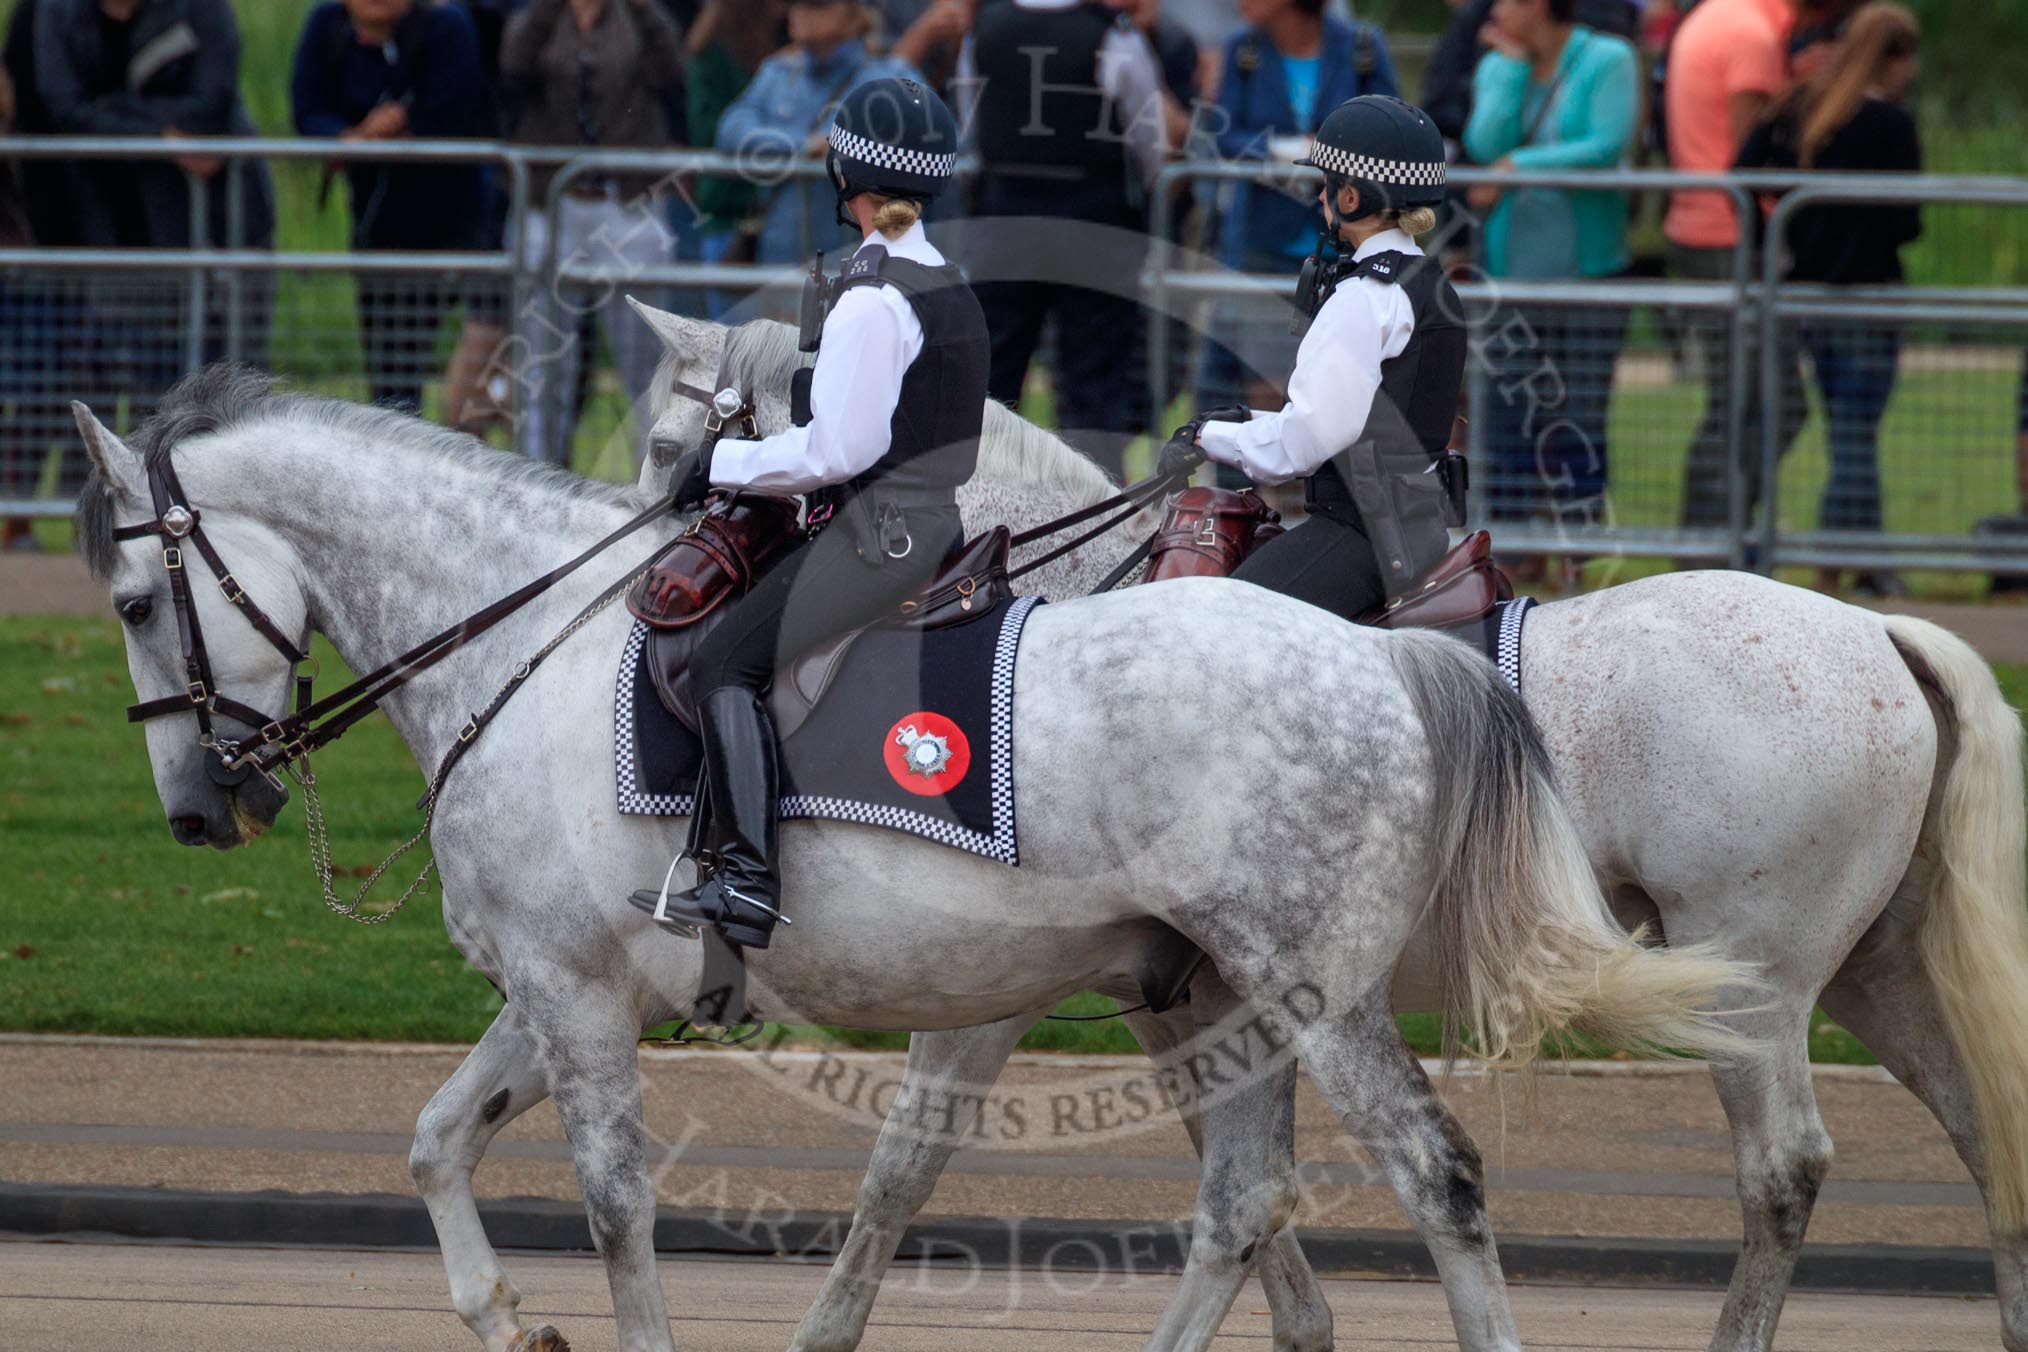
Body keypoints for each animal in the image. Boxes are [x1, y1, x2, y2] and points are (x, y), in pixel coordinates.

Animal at [67, 362, 1744, 1352]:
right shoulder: (559, 989)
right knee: (1242, 1201)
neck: (522, 648)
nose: (199, 809)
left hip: (1315, 993)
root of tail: (1381, 655)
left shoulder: (578, 994)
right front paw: (501, 1313)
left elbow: (618, 1205)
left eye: (137, 604)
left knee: (1435, 1177)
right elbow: (431, 1142)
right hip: (1227, 998)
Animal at [632, 306, 2028, 1352]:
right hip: (1875, 970)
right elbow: (1235, 1169)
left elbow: (906, 1163)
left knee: (1782, 1169)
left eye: (669, 445)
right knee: (1988, 1132)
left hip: (1757, 982)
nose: (657, 592)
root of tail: (1875, 629)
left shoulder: (1015, 985)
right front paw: (1302, 1324)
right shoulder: (1188, 987)